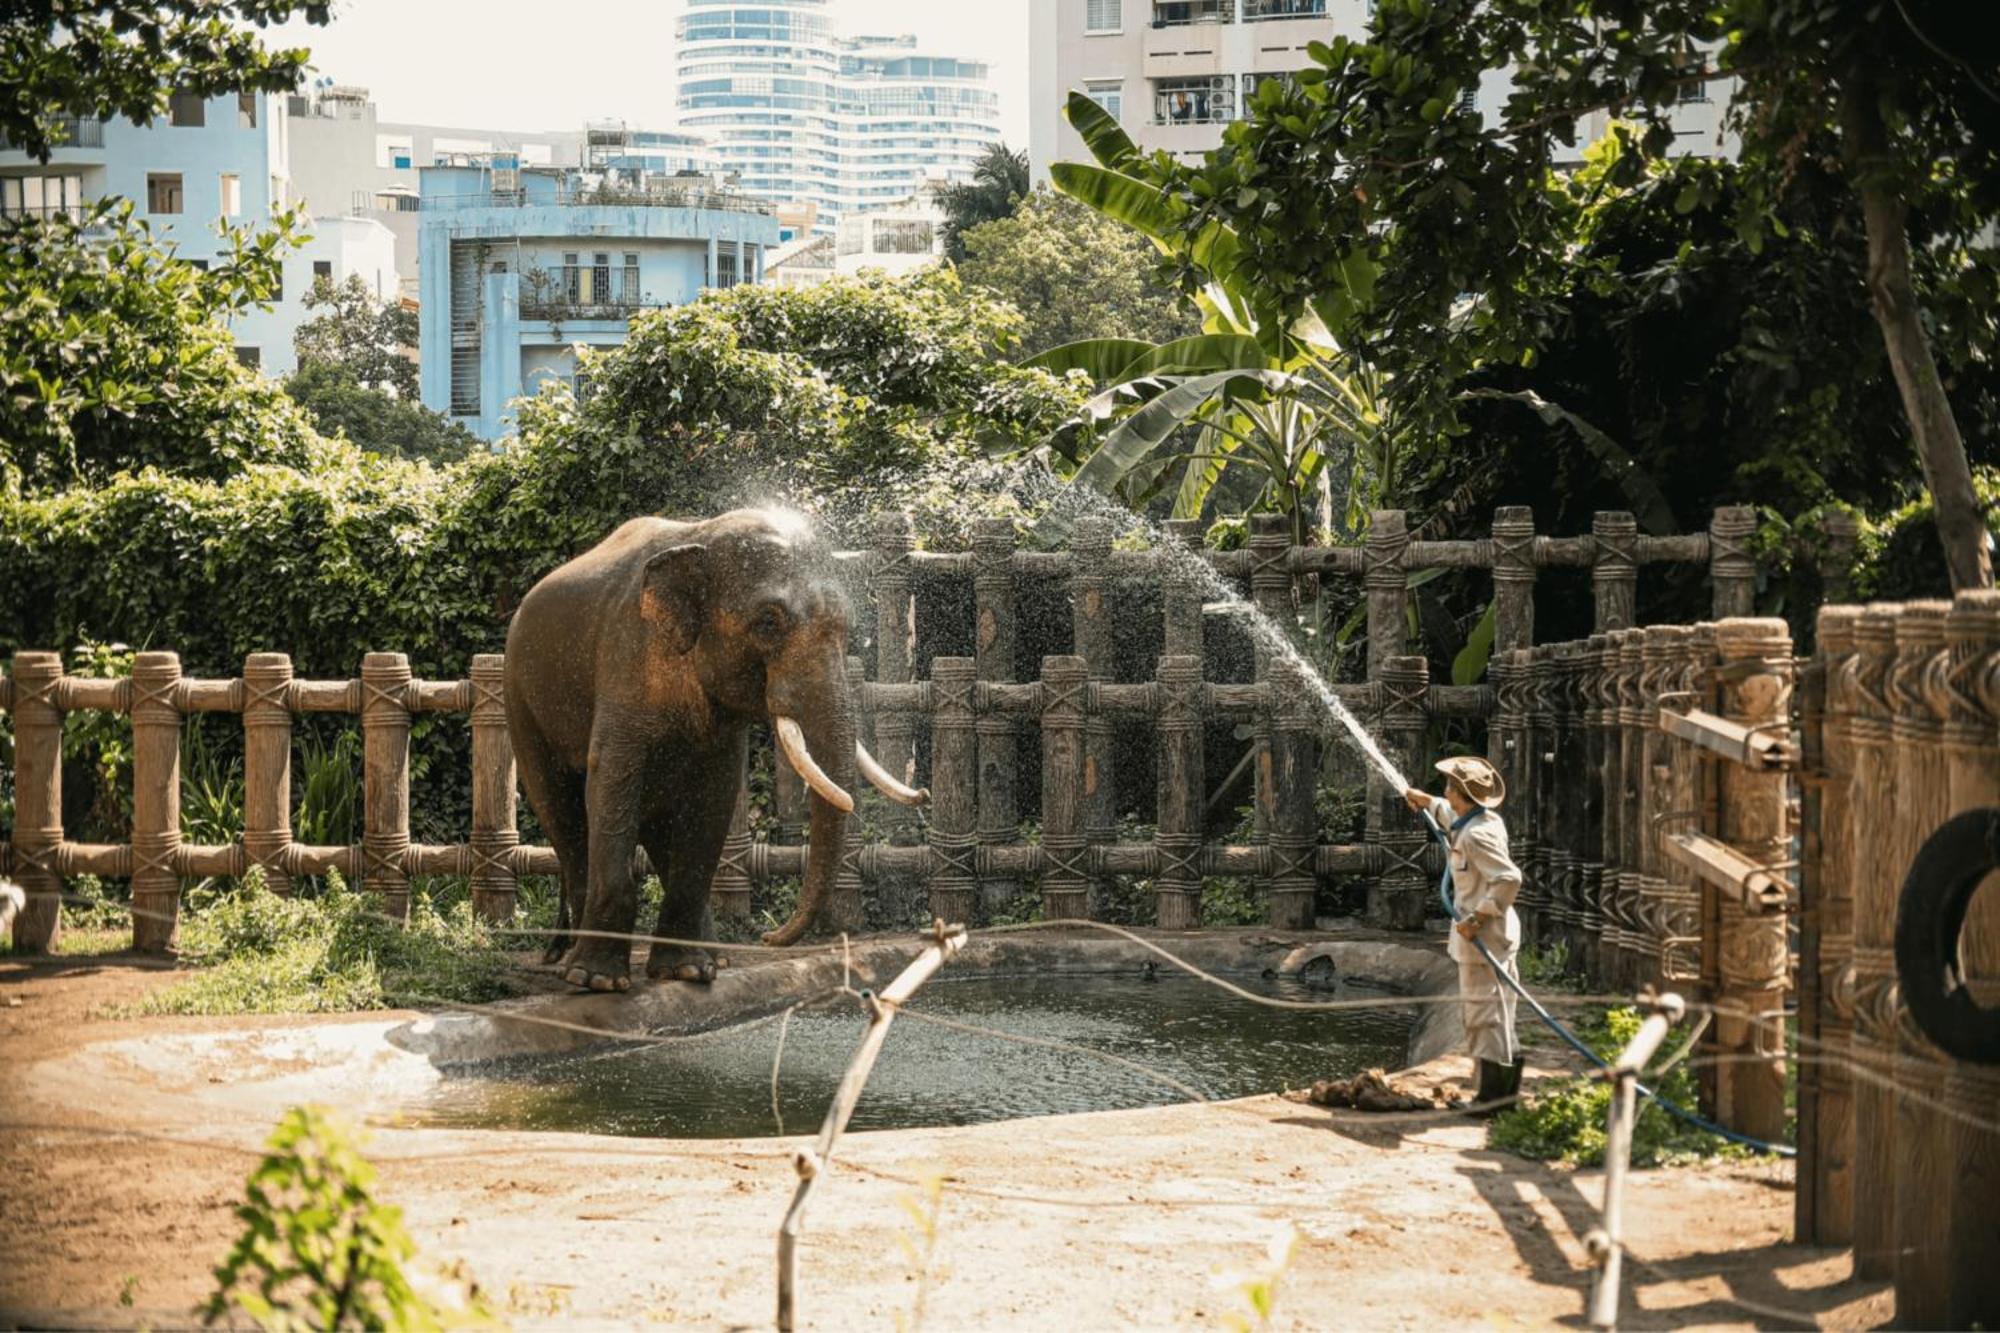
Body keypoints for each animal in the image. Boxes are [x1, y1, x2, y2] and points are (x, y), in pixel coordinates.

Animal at [508, 508, 928, 984]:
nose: (768, 937)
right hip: (519, 698)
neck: (701, 535)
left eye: (846, 628)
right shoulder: (625, 663)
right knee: (562, 813)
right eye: (768, 623)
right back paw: (574, 963)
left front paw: (688, 972)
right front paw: (599, 981)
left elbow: (714, 797)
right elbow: (613, 782)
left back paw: (710, 959)